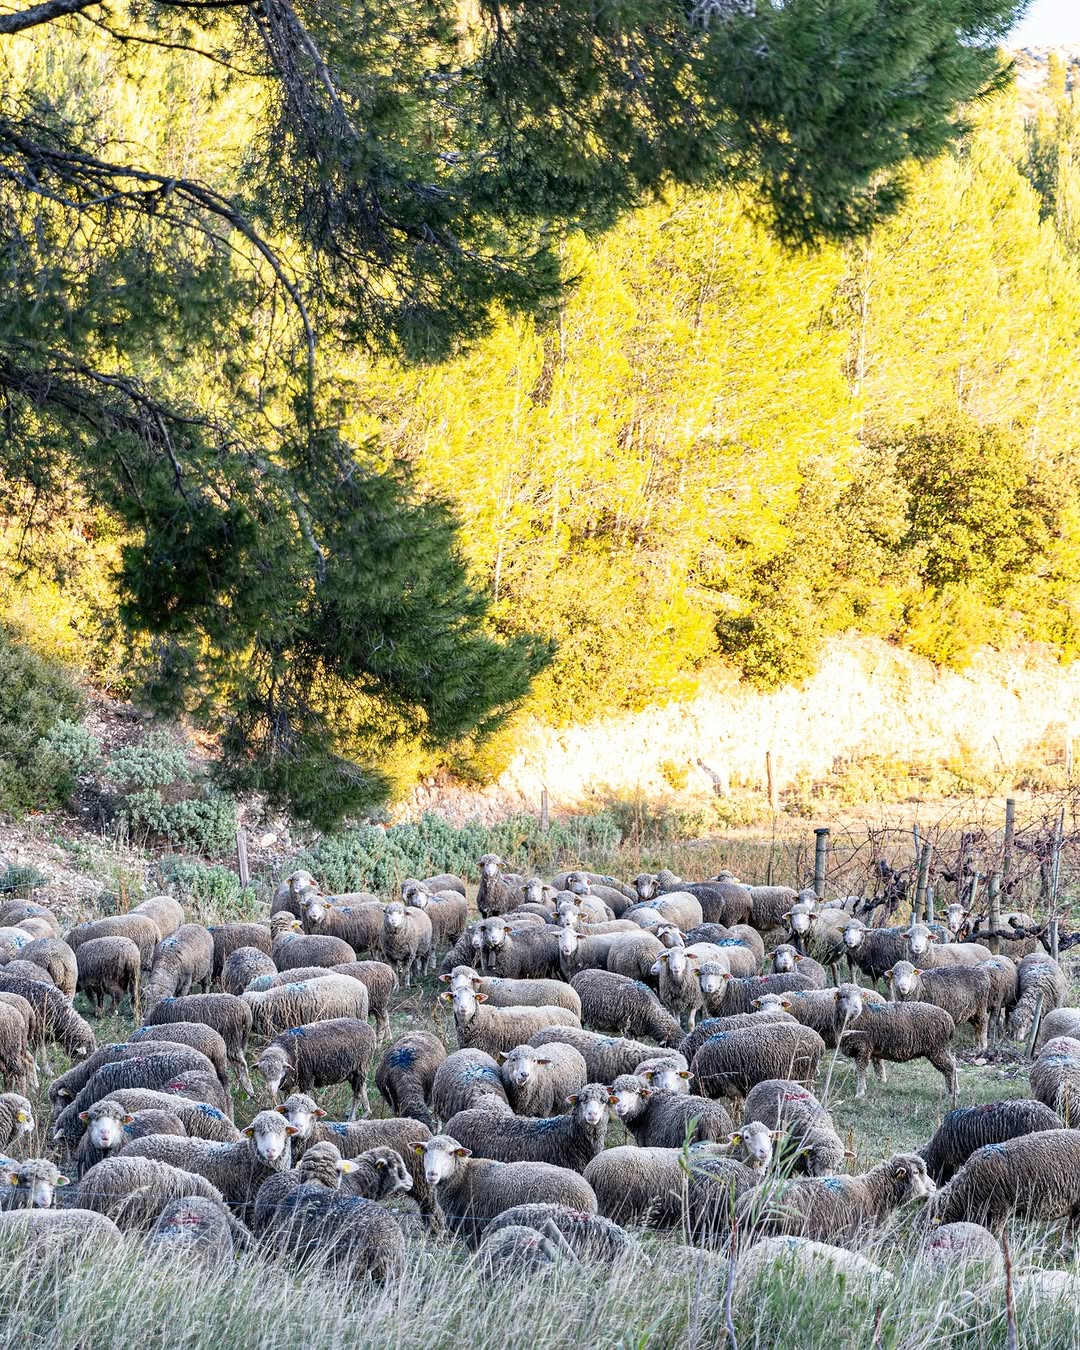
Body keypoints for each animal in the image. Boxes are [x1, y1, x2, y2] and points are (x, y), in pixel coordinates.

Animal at [416, 1133, 596, 1247]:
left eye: (450, 1153)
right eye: (426, 1150)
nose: (432, 1174)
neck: (462, 1177)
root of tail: (590, 1196)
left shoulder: (472, 1229)